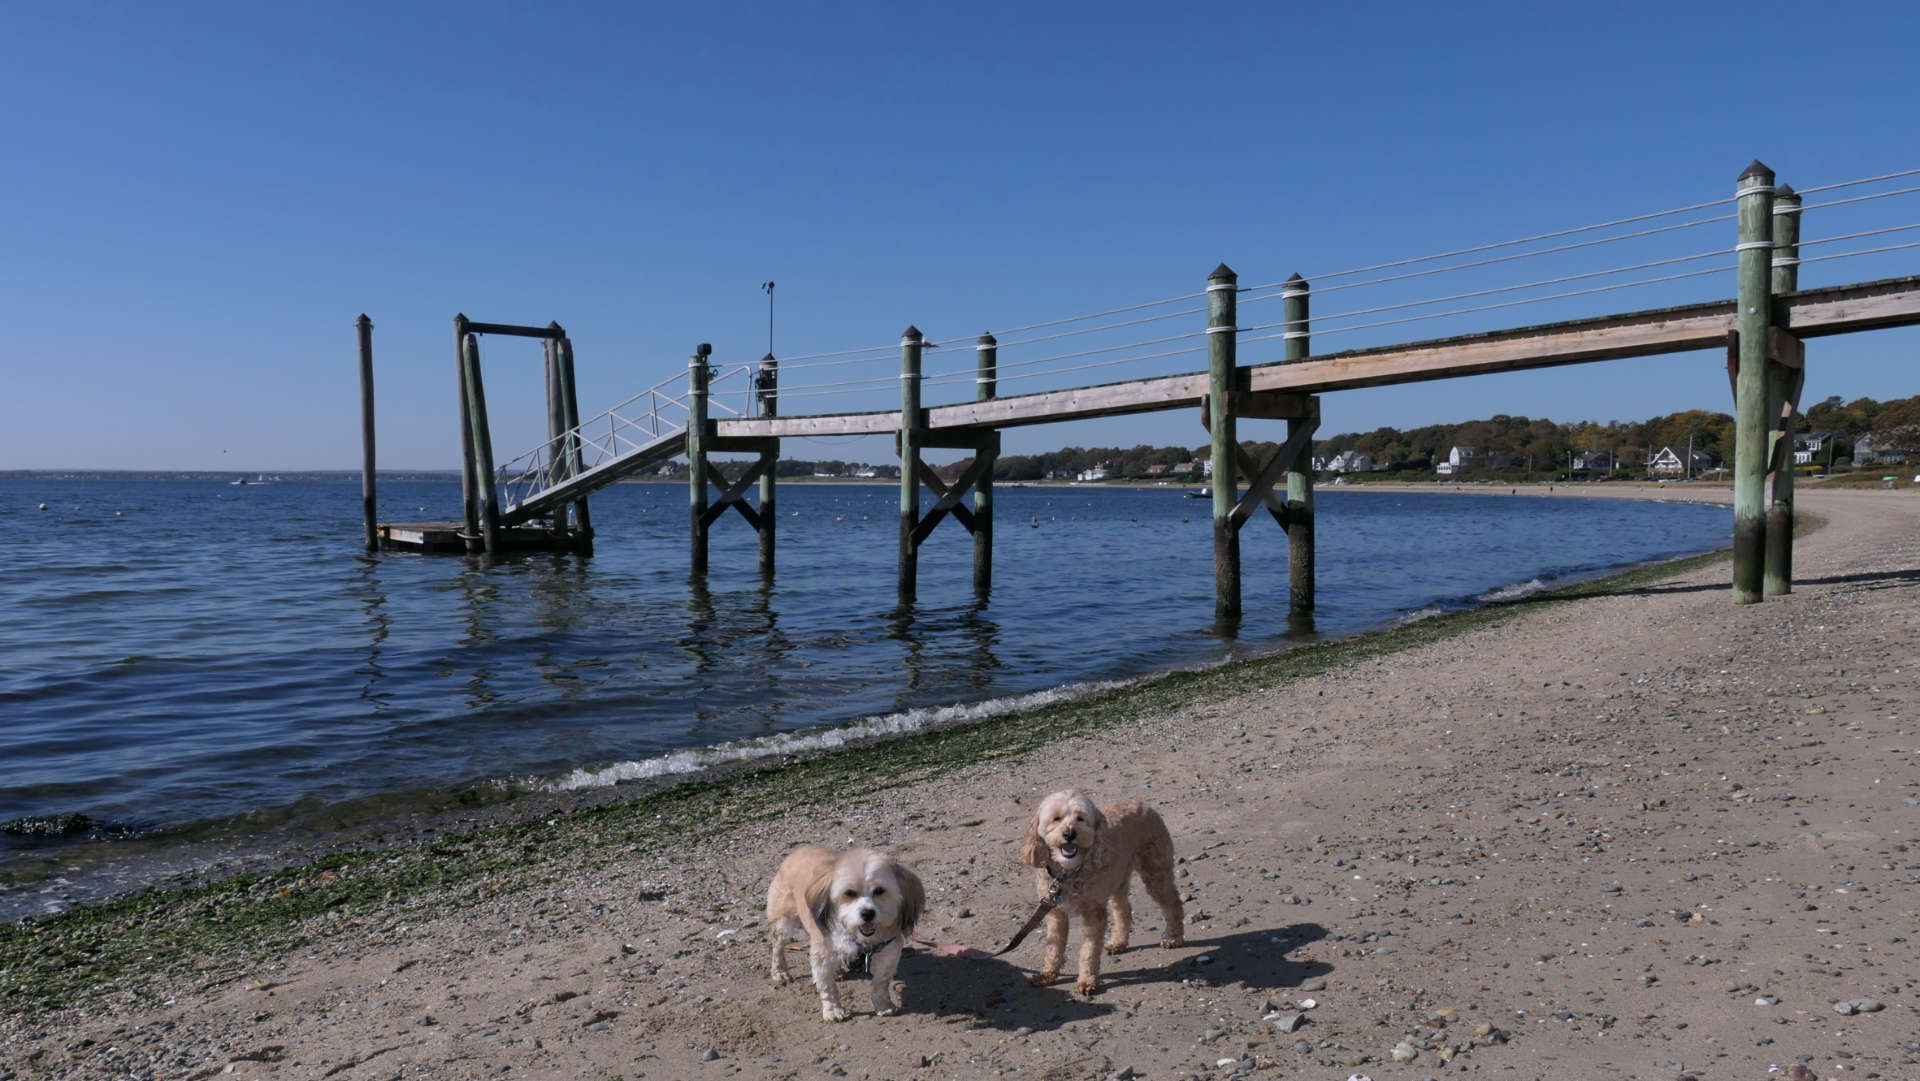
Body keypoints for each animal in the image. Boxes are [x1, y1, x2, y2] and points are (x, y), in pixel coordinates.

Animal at [764, 844, 921, 1021]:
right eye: (850, 893)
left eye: (880, 890)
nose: (867, 913)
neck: (860, 939)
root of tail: (798, 850)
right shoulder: (822, 955)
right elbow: (828, 987)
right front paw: (833, 1010)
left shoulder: (889, 952)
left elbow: (880, 983)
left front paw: (883, 1005)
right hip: (784, 922)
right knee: (777, 947)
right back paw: (780, 972)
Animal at [1021, 791, 1182, 990]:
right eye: (1056, 818)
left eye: (1080, 818)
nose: (1069, 834)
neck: (1068, 873)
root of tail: (1144, 805)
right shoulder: (1055, 913)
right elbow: (1054, 946)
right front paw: (1048, 973)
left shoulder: (1093, 913)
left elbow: (1089, 951)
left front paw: (1087, 980)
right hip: (1118, 879)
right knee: (1123, 909)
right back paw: (1119, 942)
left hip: (1155, 872)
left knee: (1173, 902)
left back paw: (1174, 937)